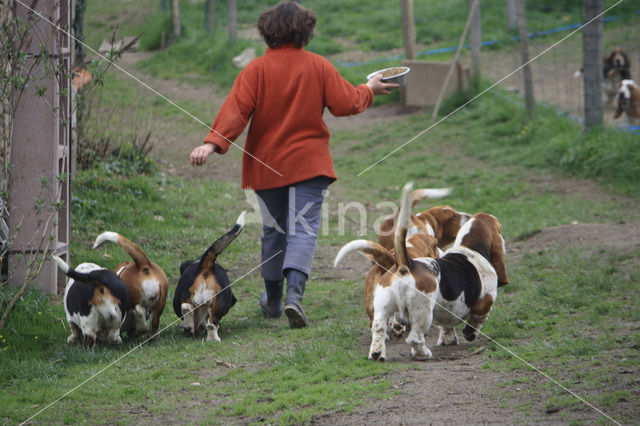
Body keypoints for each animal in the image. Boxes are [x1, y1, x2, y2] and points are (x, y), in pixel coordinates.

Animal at [172, 212, 245, 342]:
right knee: (210, 323)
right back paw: (211, 338)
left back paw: (191, 328)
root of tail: (206, 266)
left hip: (182, 297)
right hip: (218, 304)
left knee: (187, 308)